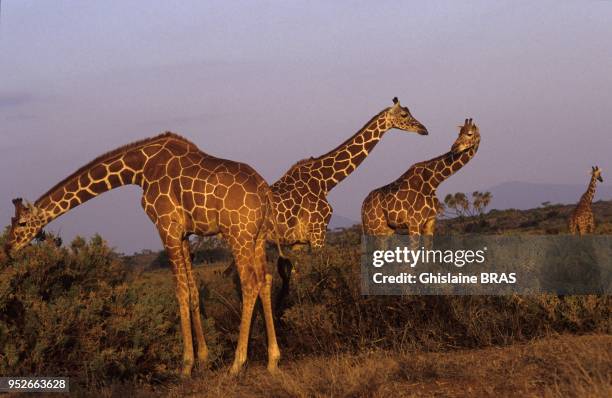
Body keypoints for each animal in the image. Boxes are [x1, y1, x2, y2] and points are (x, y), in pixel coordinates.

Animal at [2, 133, 282, 376]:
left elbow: (181, 292)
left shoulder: (166, 227)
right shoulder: (183, 234)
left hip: (238, 234)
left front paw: (186, 366)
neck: (139, 170)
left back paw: (237, 364)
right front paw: (203, 359)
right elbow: (193, 291)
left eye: (22, 224)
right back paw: (273, 360)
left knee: (249, 283)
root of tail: (265, 192)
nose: (8, 247)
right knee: (265, 280)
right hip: (258, 237)